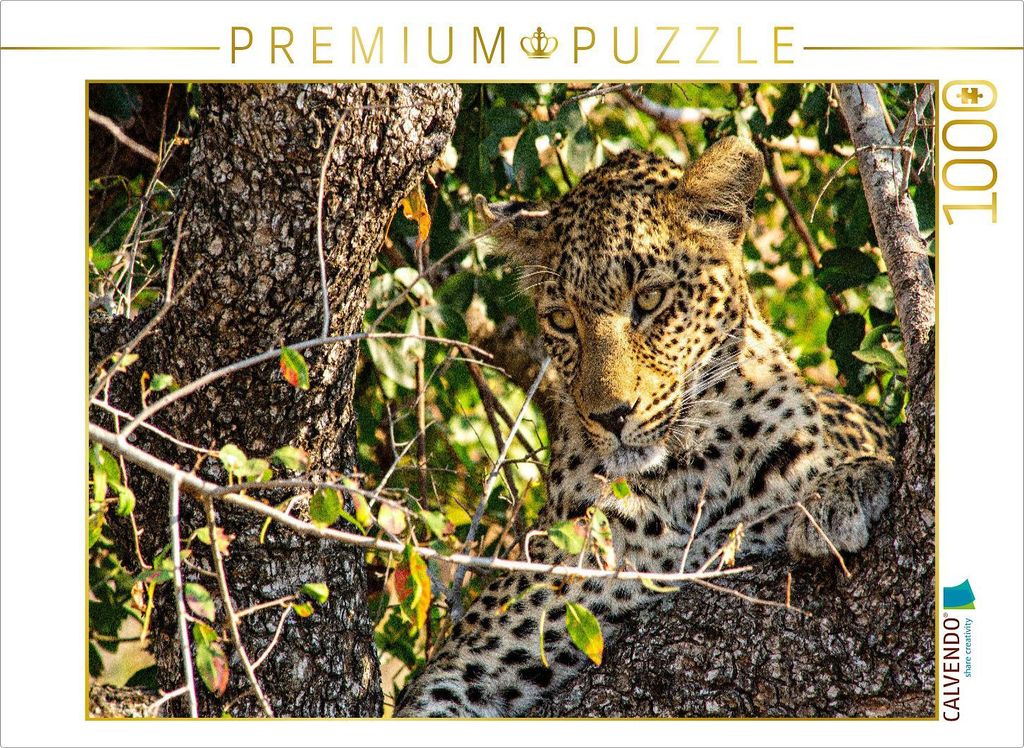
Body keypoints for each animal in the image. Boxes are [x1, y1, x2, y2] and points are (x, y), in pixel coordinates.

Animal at [395, 136, 895, 717]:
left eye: (650, 299)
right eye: (562, 319)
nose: (610, 414)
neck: (687, 477)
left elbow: (862, 461)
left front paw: (838, 495)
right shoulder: (466, 665)